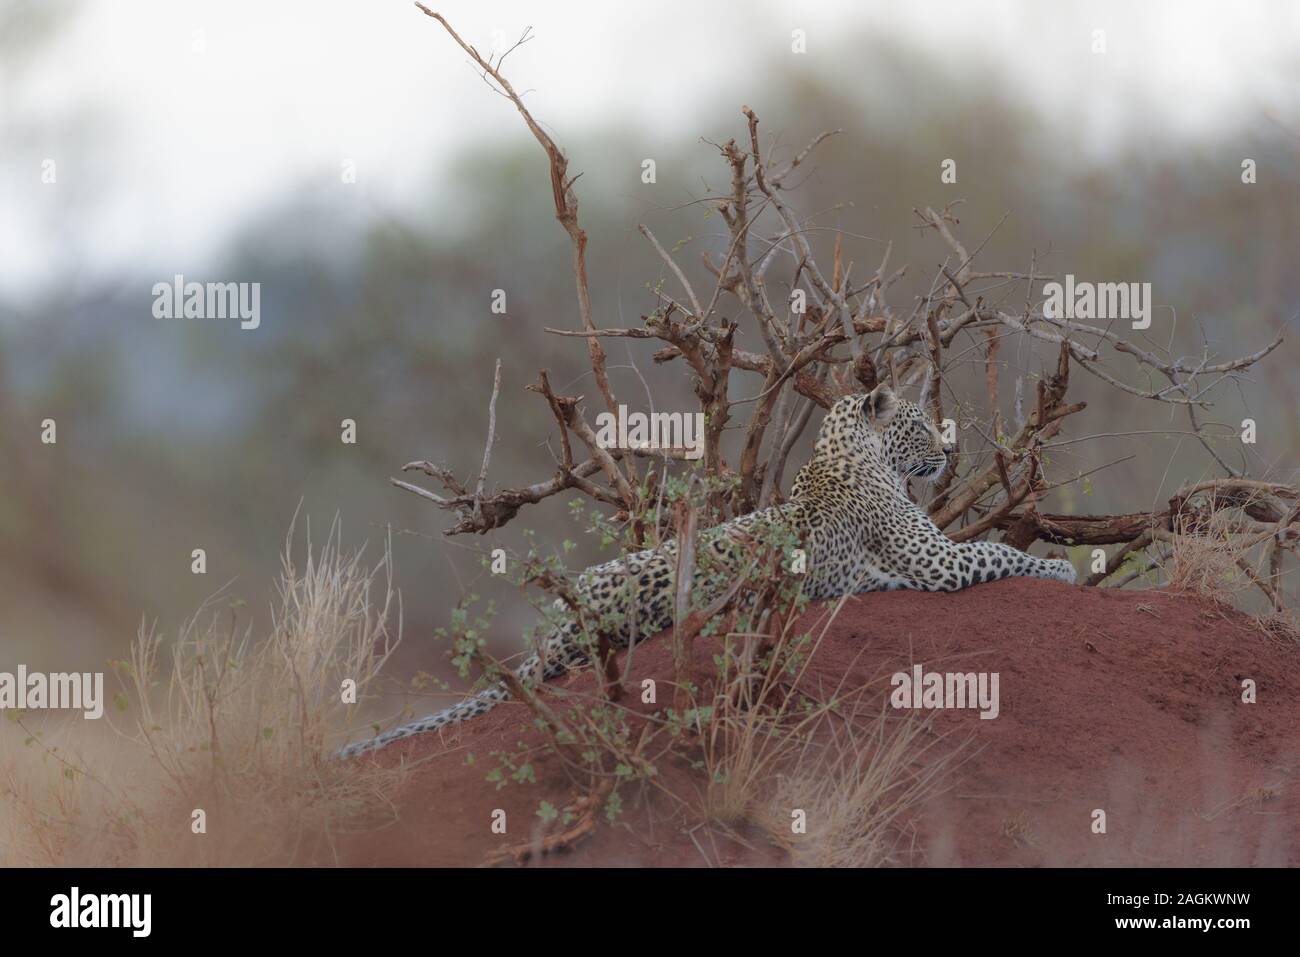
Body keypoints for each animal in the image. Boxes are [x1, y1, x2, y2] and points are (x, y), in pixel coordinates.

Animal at [338, 384, 1076, 759]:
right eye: (920, 426)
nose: (949, 453)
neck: (848, 451)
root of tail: (558, 636)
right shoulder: (938, 560)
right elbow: (1001, 554)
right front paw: (1064, 570)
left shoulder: (934, 556)